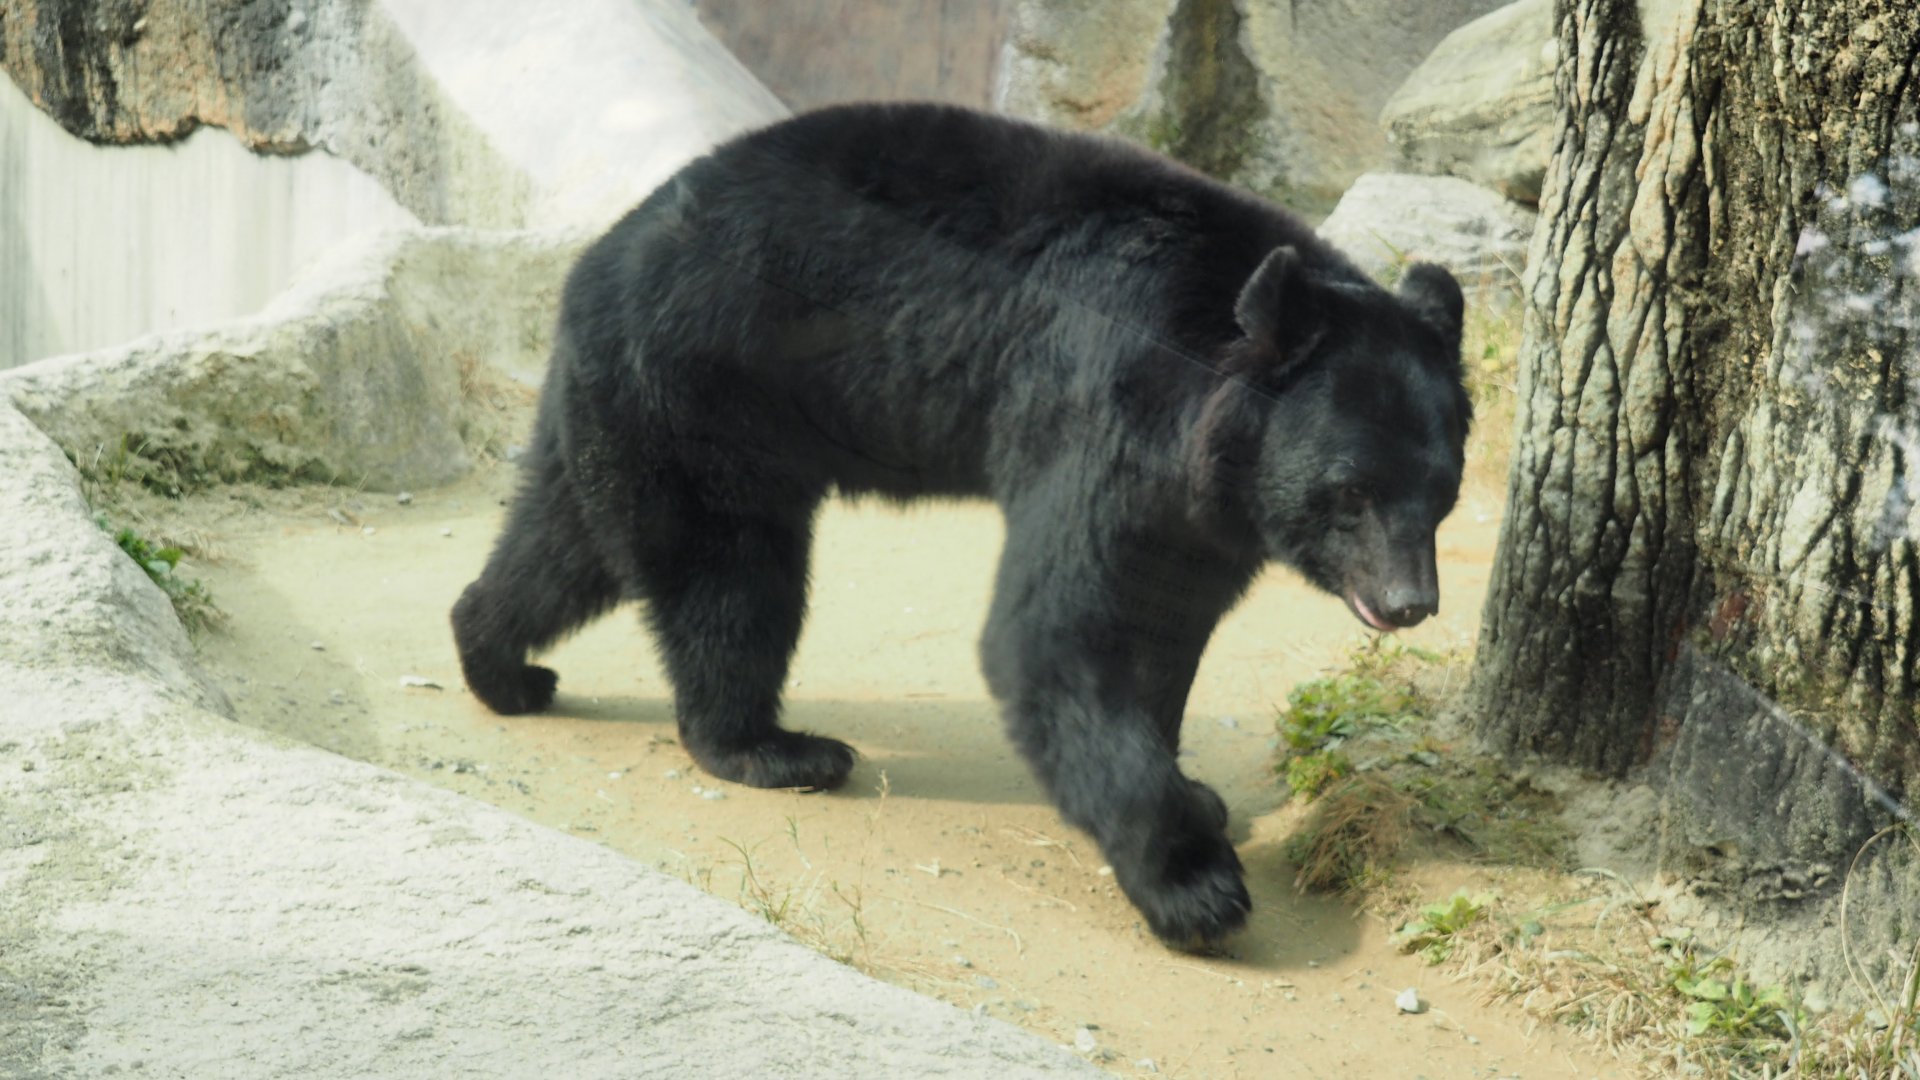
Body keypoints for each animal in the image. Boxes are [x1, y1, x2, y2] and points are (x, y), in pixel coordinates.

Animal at [451, 102, 1471, 948]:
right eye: (1352, 490)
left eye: (1442, 488)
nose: (1408, 602)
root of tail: (596, 259)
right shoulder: (1105, 414)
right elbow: (1064, 630)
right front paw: (1195, 887)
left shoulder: (1205, 507)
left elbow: (1165, 623)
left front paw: (1194, 791)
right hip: (709, 382)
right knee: (730, 574)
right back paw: (772, 746)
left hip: (633, 405)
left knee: (569, 542)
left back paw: (500, 662)